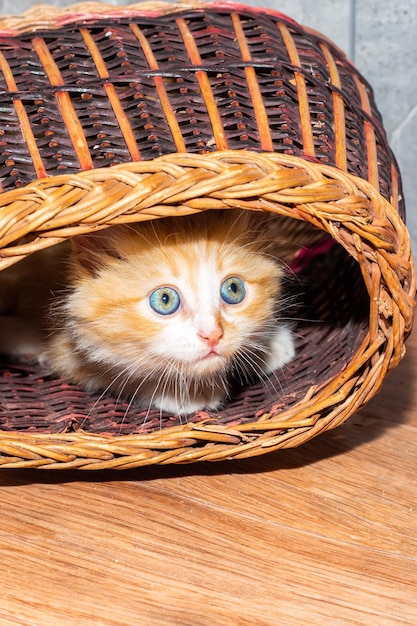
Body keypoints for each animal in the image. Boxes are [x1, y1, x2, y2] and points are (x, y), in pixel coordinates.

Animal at [0, 211, 294, 414]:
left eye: (233, 289)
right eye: (165, 300)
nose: (212, 335)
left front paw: (271, 345)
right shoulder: (68, 349)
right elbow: (109, 372)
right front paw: (189, 394)